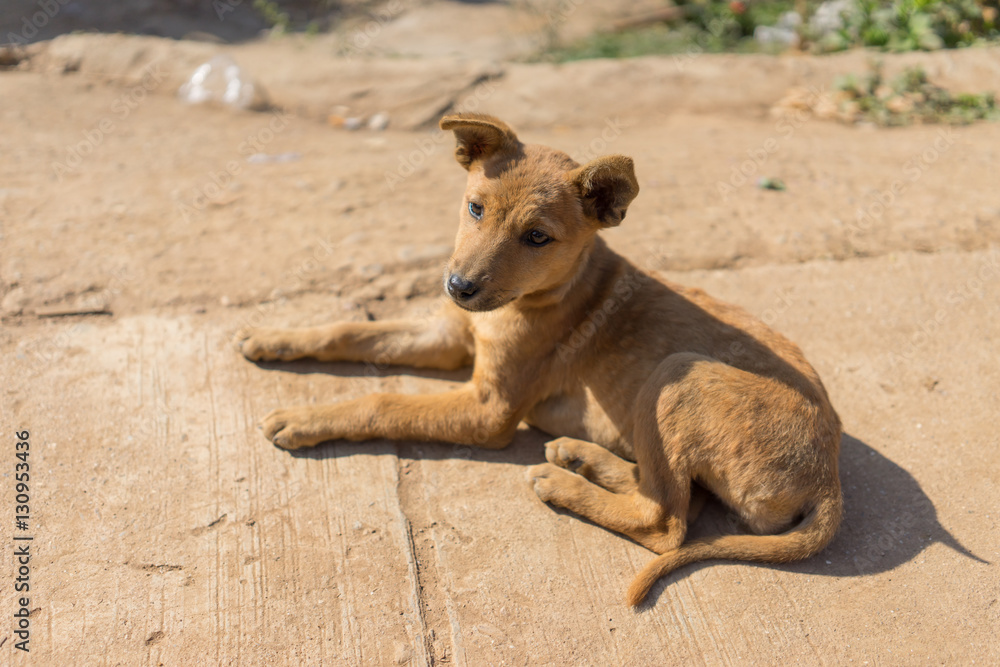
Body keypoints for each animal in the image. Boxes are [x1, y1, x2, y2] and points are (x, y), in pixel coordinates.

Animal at [238, 113, 840, 604]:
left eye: (536, 237)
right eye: (474, 208)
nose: (458, 287)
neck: (541, 295)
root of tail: (828, 479)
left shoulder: (489, 410)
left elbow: (382, 401)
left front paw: (303, 418)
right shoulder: (449, 335)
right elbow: (349, 331)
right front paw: (272, 337)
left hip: (677, 375)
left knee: (667, 520)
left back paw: (562, 483)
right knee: (665, 491)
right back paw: (579, 457)